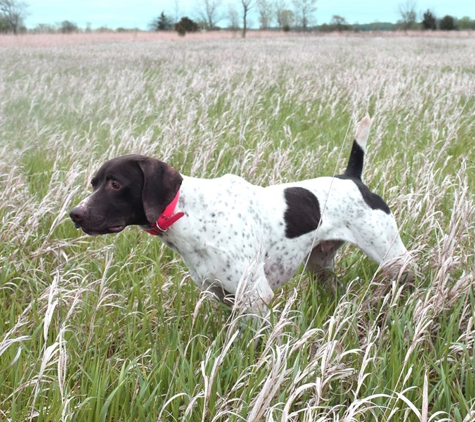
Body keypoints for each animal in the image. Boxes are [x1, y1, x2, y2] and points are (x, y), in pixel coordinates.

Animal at [69, 117, 412, 314]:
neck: (191, 216)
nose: (75, 214)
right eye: (94, 183)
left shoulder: (255, 296)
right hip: (320, 267)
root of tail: (351, 177)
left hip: (392, 257)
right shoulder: (221, 294)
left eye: (115, 184)